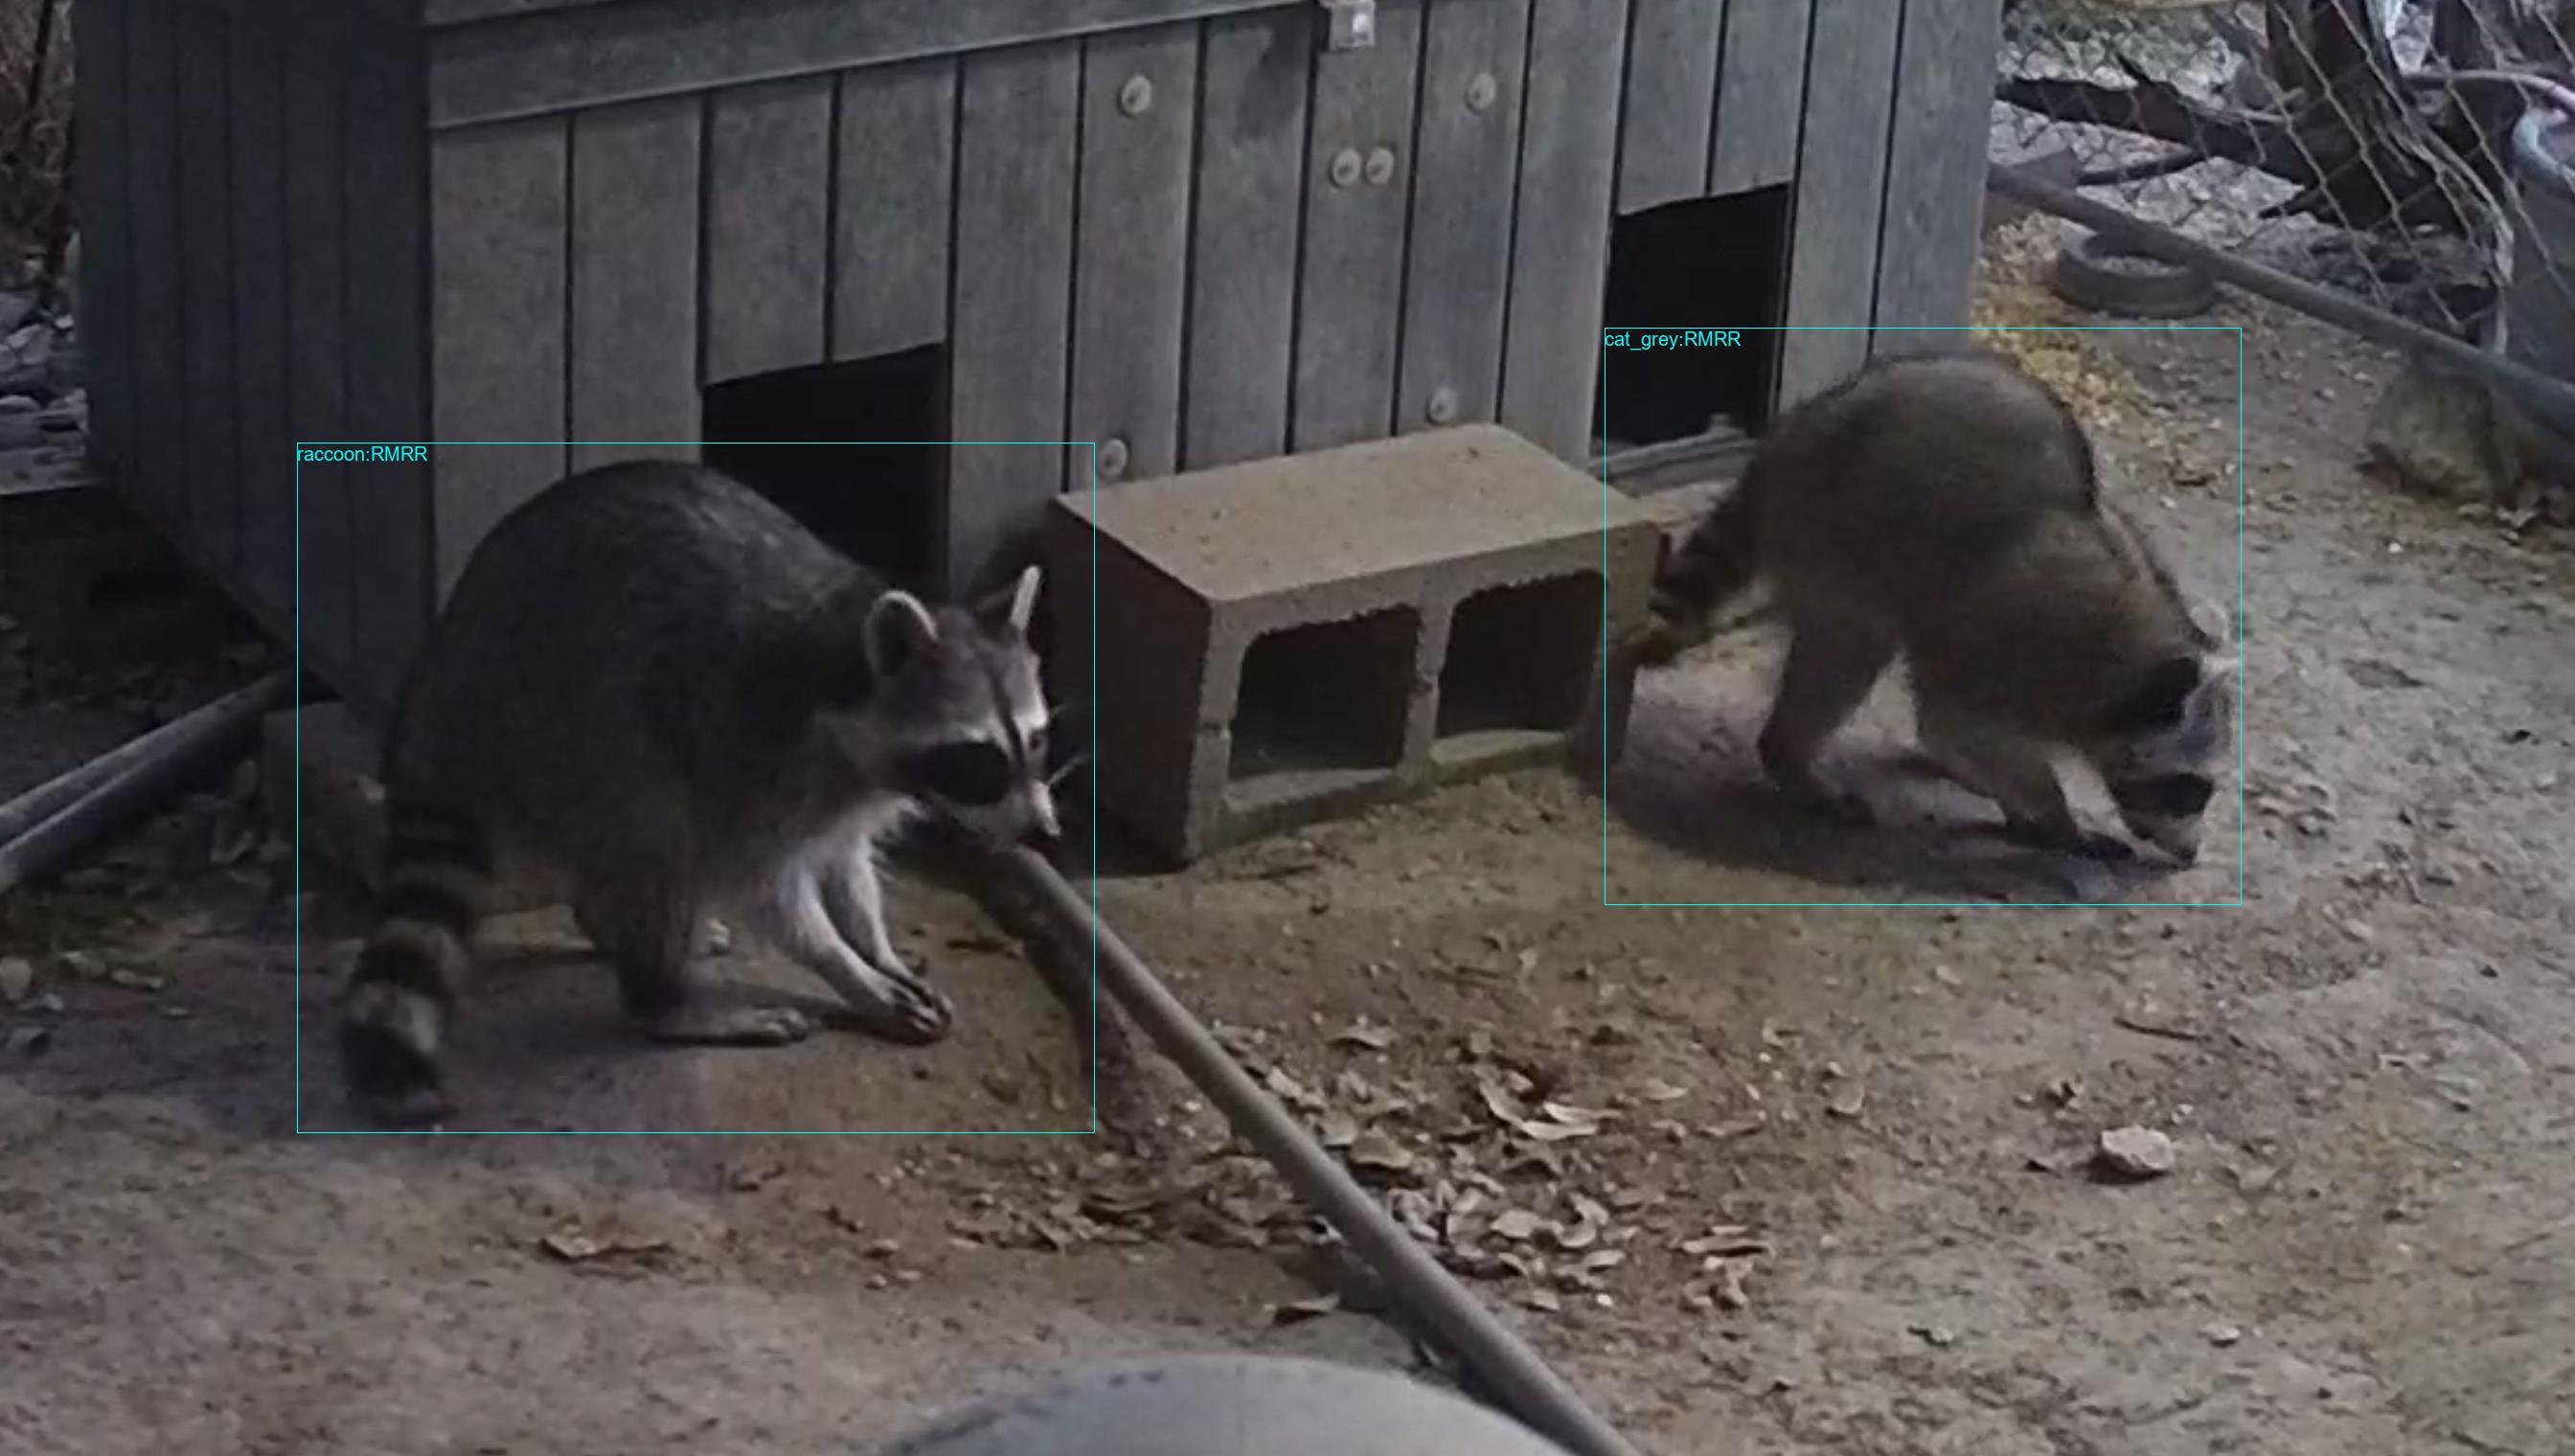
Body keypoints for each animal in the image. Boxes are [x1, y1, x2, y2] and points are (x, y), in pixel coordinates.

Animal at [337, 459, 1063, 1126]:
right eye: (977, 757)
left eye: (1034, 740)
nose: (1042, 832)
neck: (846, 663)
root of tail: (438, 698)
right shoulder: (748, 756)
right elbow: (770, 893)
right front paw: (846, 969)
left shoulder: (847, 795)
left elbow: (847, 867)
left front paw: (874, 947)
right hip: (569, 729)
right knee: (656, 838)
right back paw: (663, 998)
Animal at [1632, 350, 2234, 865]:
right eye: (2192, 789)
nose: (2191, 856)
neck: (2135, 649)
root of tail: (1790, 438)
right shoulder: (2009, 649)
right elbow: (1959, 727)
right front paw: (2053, 809)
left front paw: (2019, 804)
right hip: (1834, 532)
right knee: (1844, 654)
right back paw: (1790, 755)